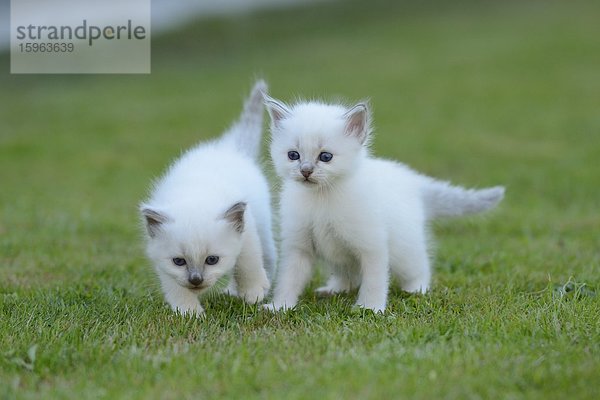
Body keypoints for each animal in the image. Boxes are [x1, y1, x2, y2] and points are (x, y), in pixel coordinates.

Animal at [141, 81, 274, 316]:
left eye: (212, 260)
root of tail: (228, 148)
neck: (196, 194)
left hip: (264, 225)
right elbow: (175, 286)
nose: (196, 279)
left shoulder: (247, 231)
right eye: (179, 261)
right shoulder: (162, 261)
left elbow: (247, 262)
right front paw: (189, 312)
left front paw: (253, 292)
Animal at [264, 97, 504, 312]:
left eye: (325, 157)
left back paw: (416, 290)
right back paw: (333, 290)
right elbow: (288, 279)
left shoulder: (372, 245)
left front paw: (369, 308)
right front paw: (279, 307)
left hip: (405, 250)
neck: (321, 199)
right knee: (347, 274)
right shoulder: (298, 246)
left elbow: (374, 280)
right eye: (293, 155)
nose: (305, 171)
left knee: (420, 267)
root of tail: (413, 180)